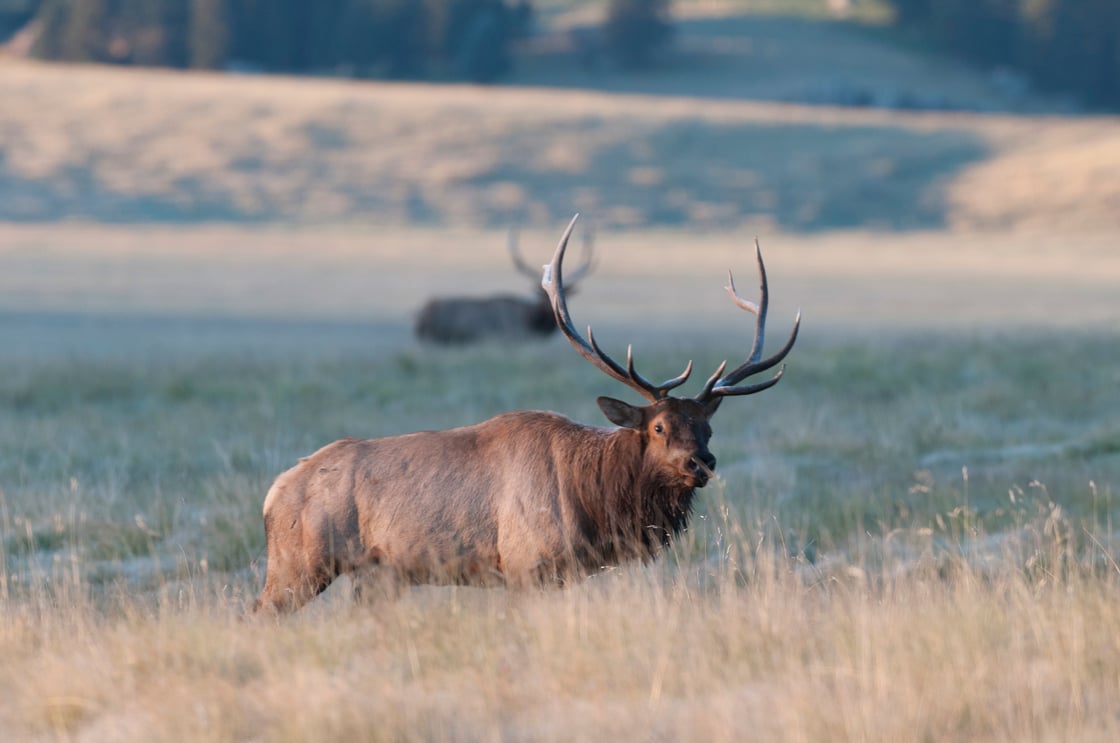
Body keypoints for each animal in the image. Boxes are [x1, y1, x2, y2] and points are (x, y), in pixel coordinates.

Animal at [414, 228, 594, 344]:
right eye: (541, 294)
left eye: (567, 294)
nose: (552, 315)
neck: (530, 320)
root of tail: (421, 314)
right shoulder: (513, 336)